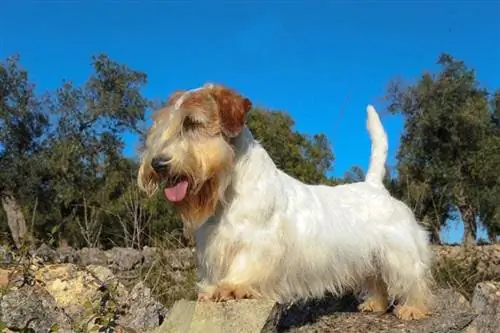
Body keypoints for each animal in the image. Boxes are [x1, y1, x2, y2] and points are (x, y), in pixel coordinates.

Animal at [138, 83, 434, 320]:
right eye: (163, 125)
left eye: (192, 122)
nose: (157, 164)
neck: (228, 189)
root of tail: (374, 185)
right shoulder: (214, 245)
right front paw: (211, 290)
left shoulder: (257, 242)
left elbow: (244, 265)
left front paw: (232, 287)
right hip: (371, 256)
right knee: (378, 282)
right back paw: (375, 304)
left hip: (398, 252)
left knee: (413, 279)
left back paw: (414, 309)